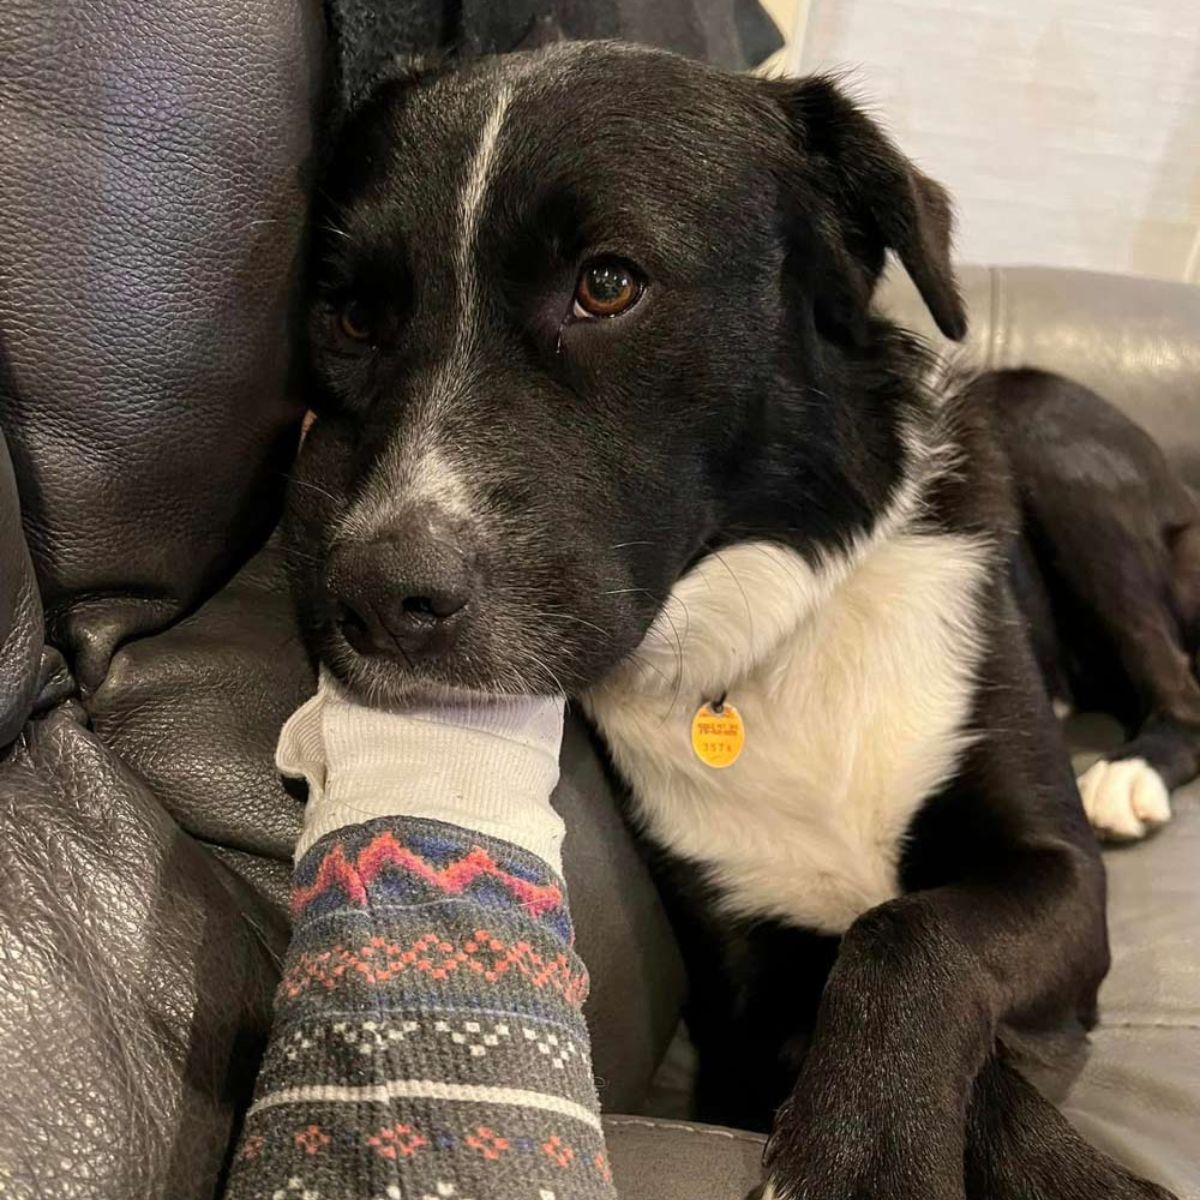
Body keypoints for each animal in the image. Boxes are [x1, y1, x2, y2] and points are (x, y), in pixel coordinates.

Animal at [283, 39, 1190, 1200]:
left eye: (608, 283)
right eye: (354, 316)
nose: (371, 598)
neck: (771, 622)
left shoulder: (1063, 882)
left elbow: (911, 929)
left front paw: (866, 1152)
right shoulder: (751, 985)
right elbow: (925, 1020)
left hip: (1058, 454)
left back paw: (1130, 771)